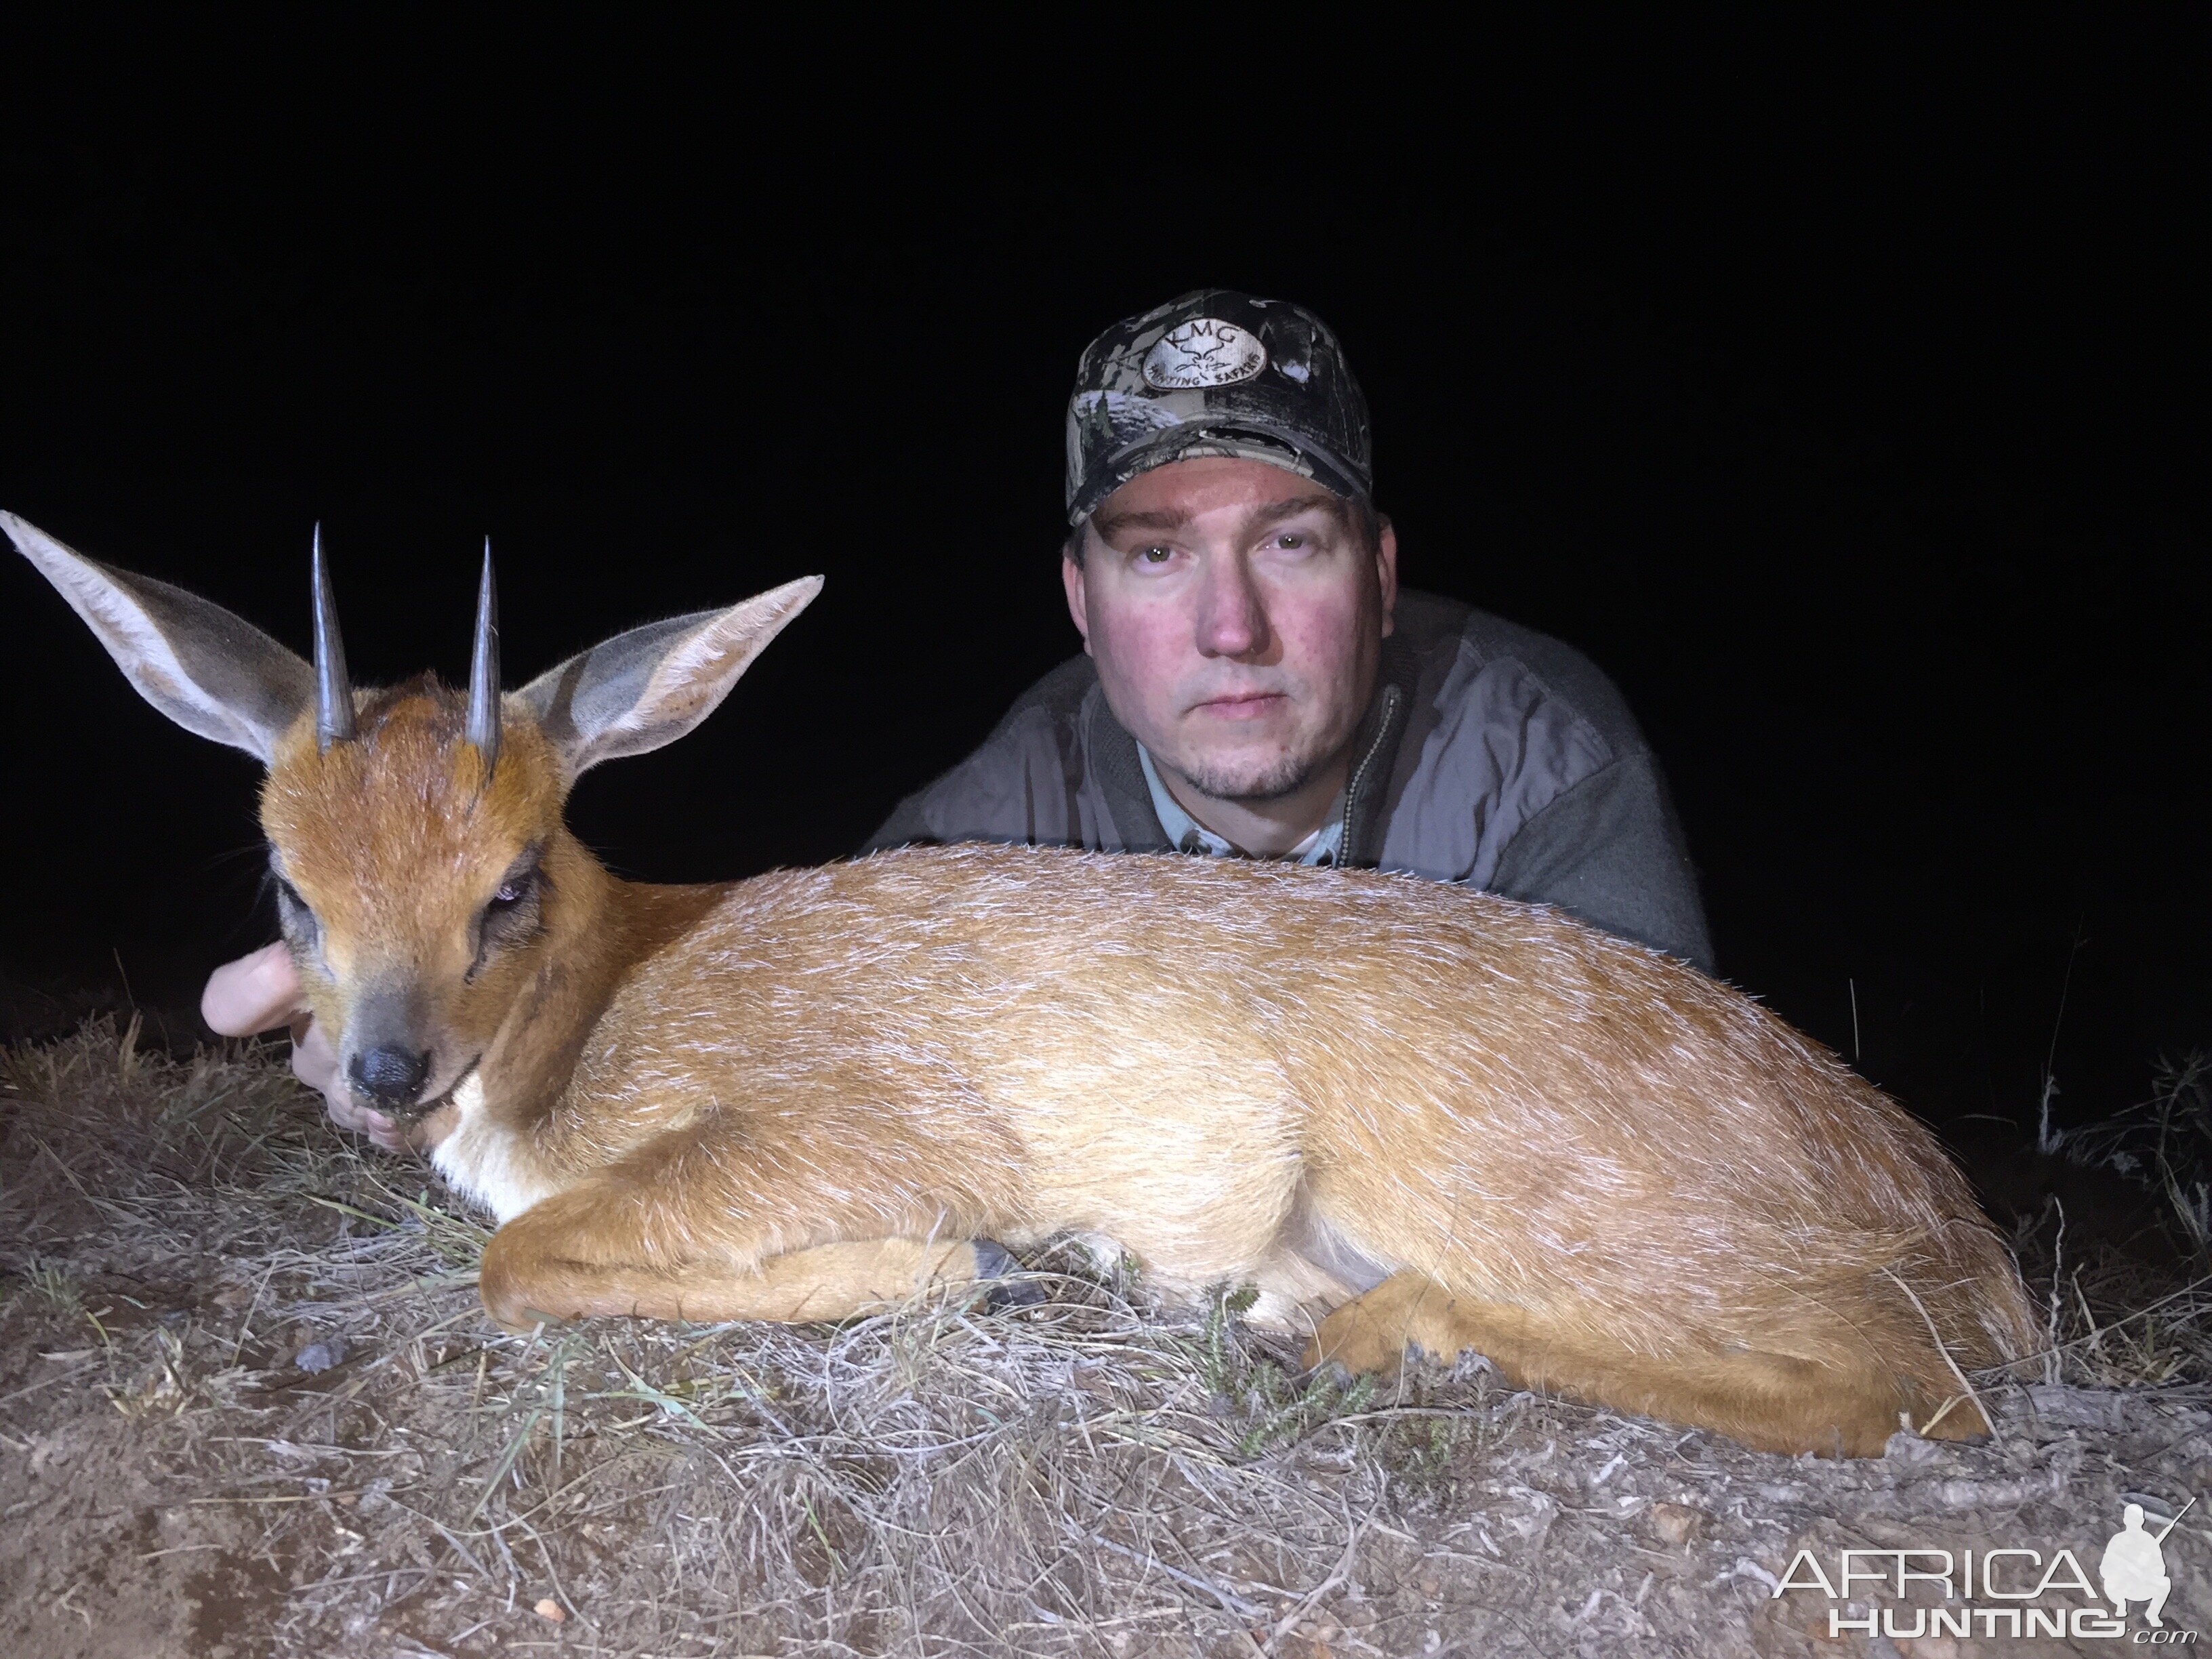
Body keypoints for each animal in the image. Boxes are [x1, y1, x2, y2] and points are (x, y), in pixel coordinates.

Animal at [4, 517, 2034, 1451]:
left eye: (511, 884)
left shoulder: (859, 1119)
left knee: (1909, 1376)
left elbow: (526, 1258)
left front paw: (942, 1269)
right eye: (287, 881)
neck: (611, 993)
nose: (381, 1069)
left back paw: (1359, 1326)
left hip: (1515, 1180)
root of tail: (1954, 1219)